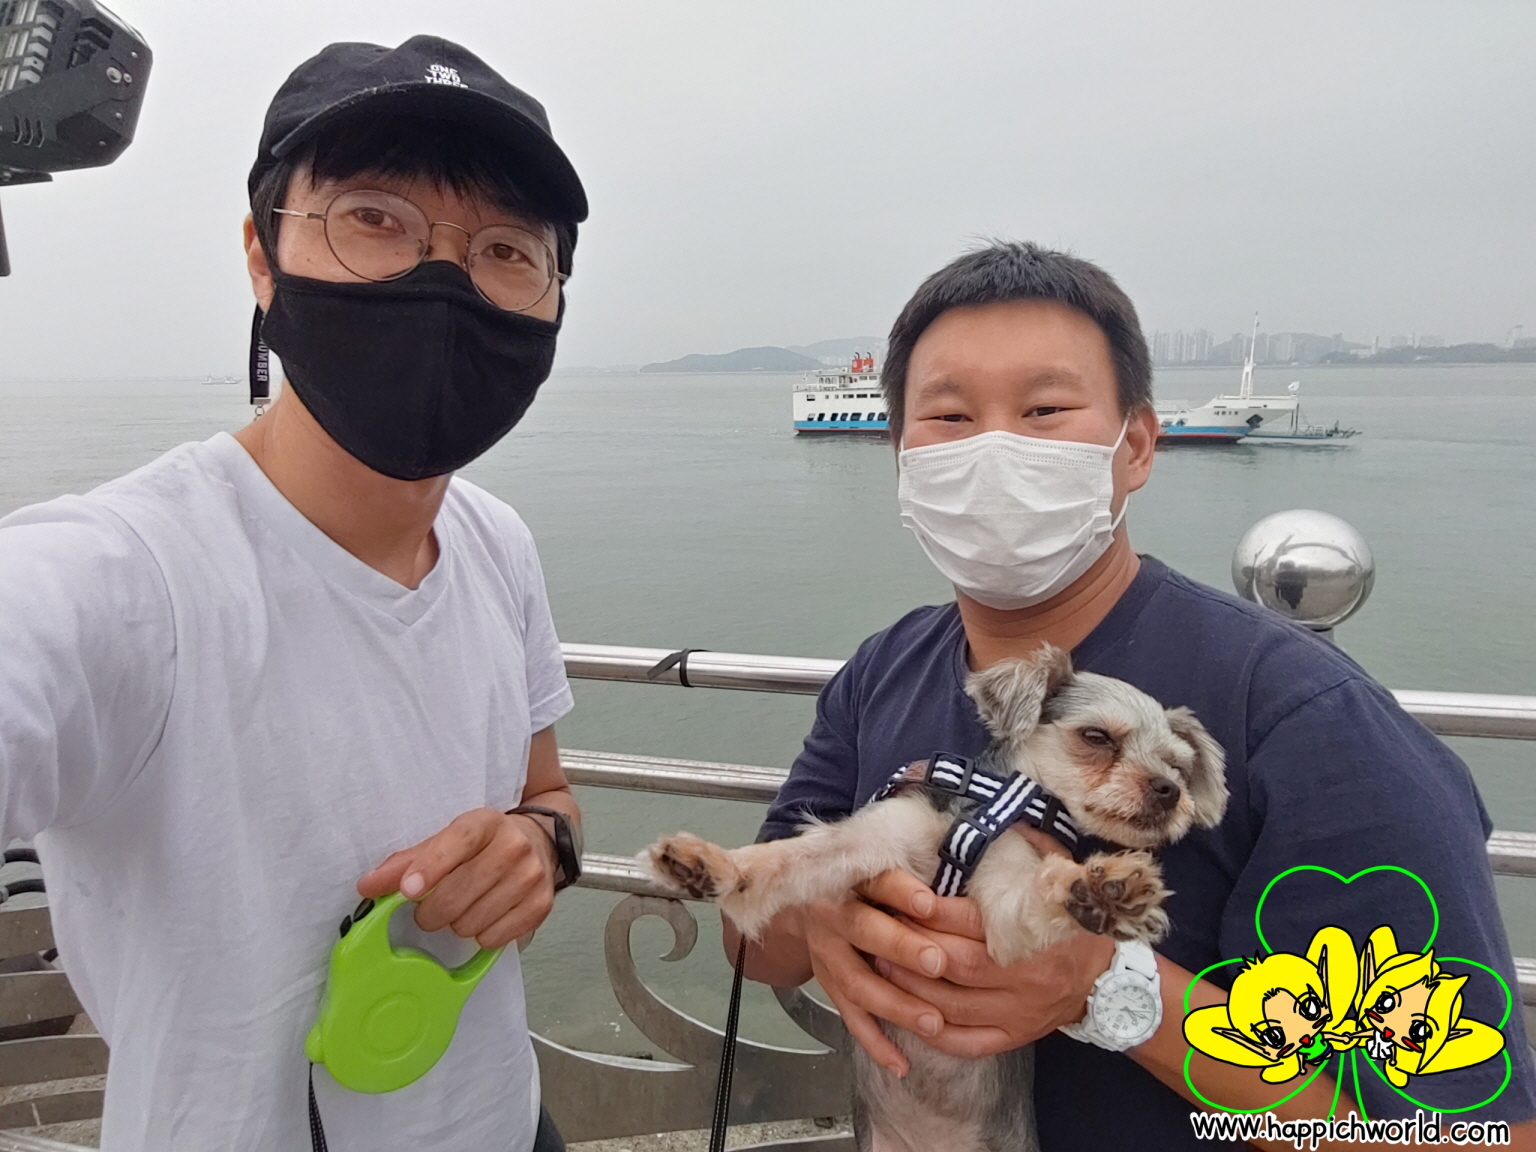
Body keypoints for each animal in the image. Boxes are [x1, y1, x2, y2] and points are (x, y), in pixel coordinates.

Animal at [645, 645, 1228, 1152]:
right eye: (1096, 737)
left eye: (1177, 765)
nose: (1169, 790)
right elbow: (789, 859)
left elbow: (1033, 896)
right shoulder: (870, 841)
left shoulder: (1004, 906)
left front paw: (1096, 890)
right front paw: (717, 867)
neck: (979, 807)